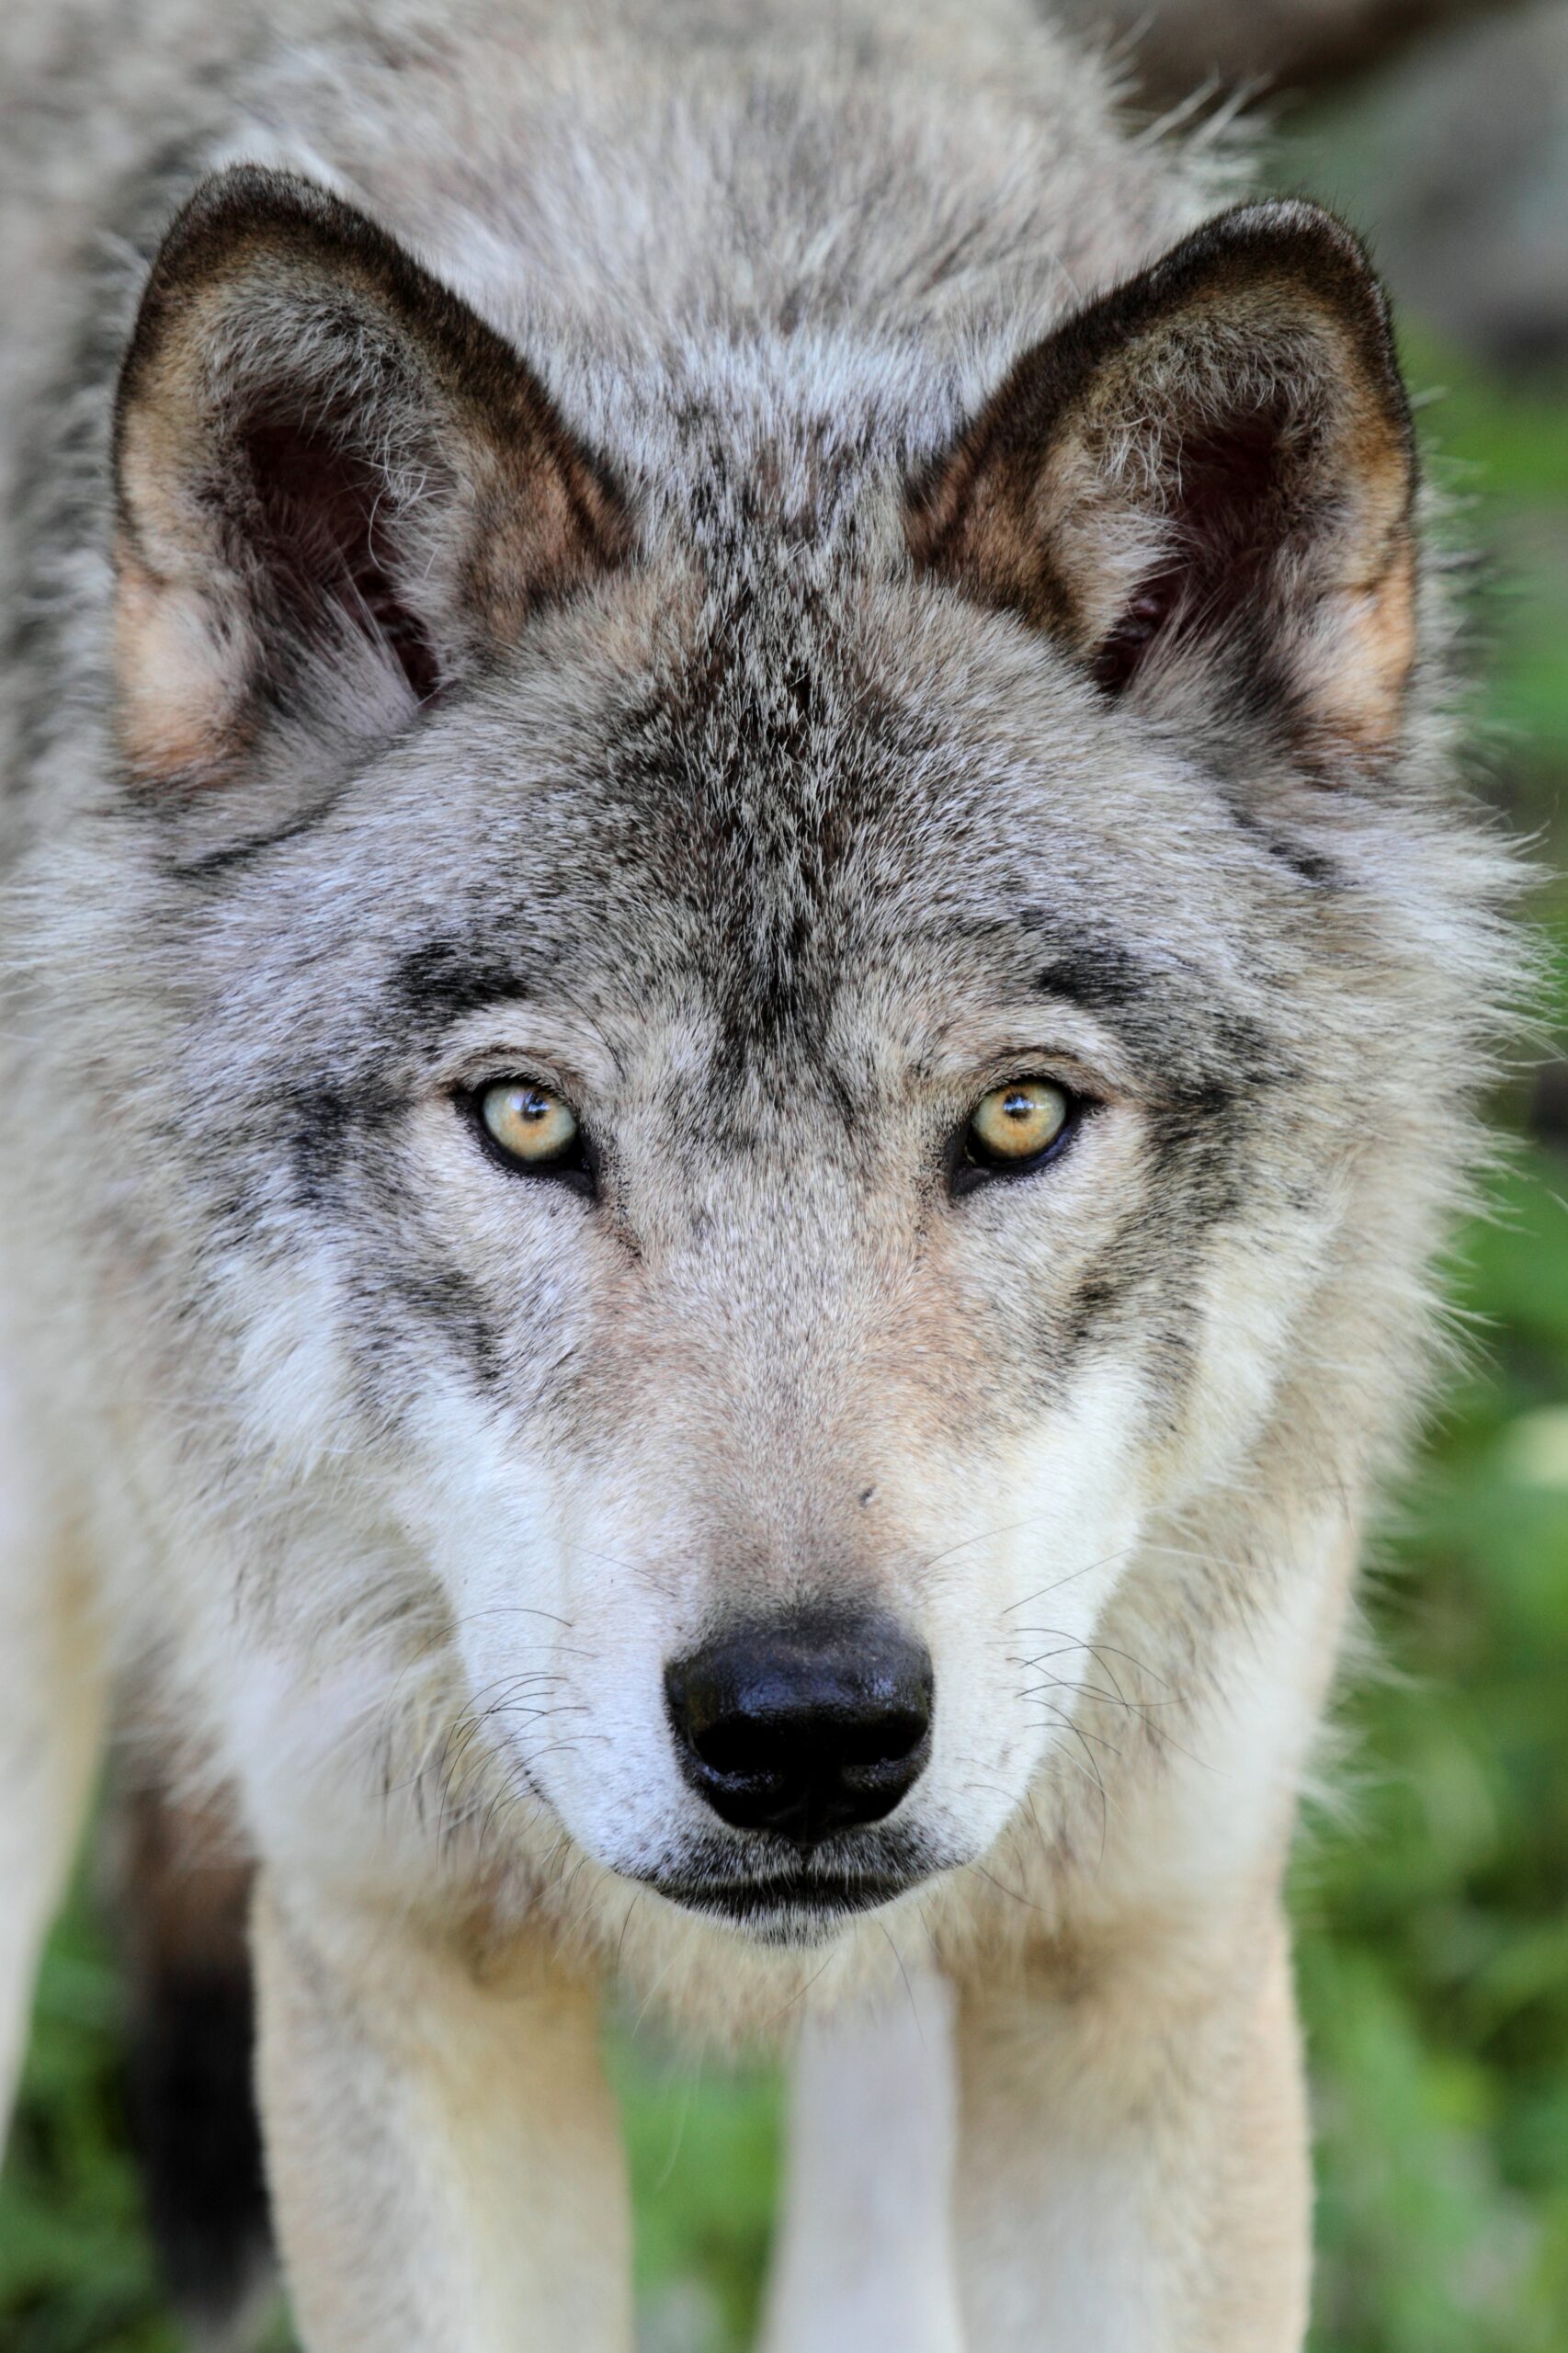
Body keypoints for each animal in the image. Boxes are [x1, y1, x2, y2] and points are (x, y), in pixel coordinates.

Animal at [0, 1, 1520, 2347]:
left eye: (1016, 1117)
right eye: (530, 1120)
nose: (802, 1726)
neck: (744, 304)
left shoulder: (1142, 1953)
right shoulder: (398, 1945)